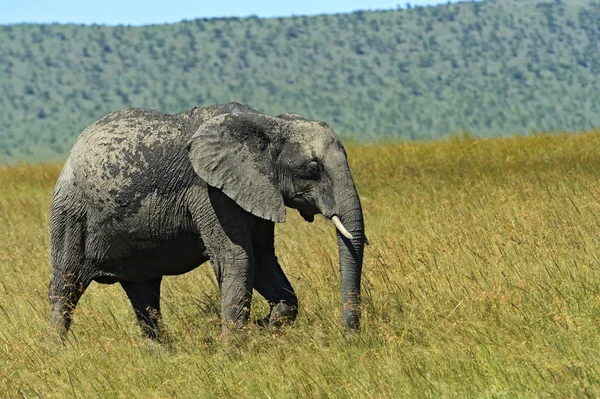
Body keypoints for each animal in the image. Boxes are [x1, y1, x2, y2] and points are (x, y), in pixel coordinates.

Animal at [49, 101, 366, 340]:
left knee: (144, 293)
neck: (268, 124)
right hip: (71, 212)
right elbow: (238, 259)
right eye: (312, 168)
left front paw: (265, 325)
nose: (349, 335)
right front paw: (234, 353)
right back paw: (57, 355)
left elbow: (264, 259)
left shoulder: (257, 190)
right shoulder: (211, 193)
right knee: (65, 287)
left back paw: (164, 358)